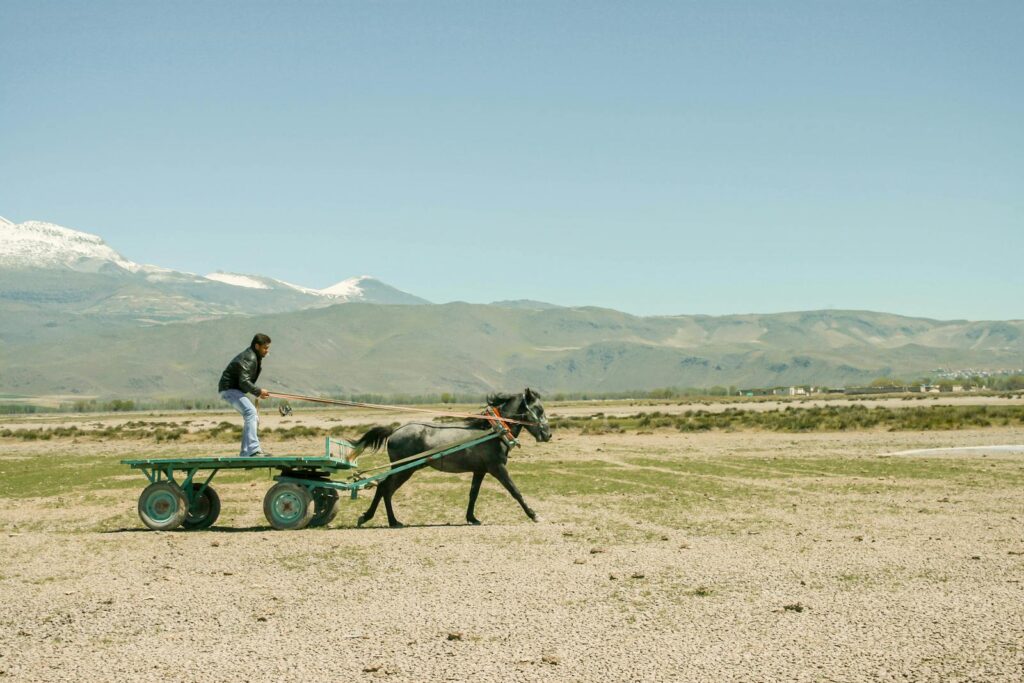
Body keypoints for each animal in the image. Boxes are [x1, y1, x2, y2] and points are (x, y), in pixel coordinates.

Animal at [350, 388, 551, 528]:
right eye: (539, 409)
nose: (548, 435)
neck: (494, 430)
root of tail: (395, 431)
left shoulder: (480, 471)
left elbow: (473, 494)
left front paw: (471, 518)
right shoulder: (497, 468)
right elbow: (515, 491)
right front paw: (534, 515)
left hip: (404, 469)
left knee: (384, 487)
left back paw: (376, 518)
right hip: (405, 469)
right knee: (385, 488)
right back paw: (388, 521)